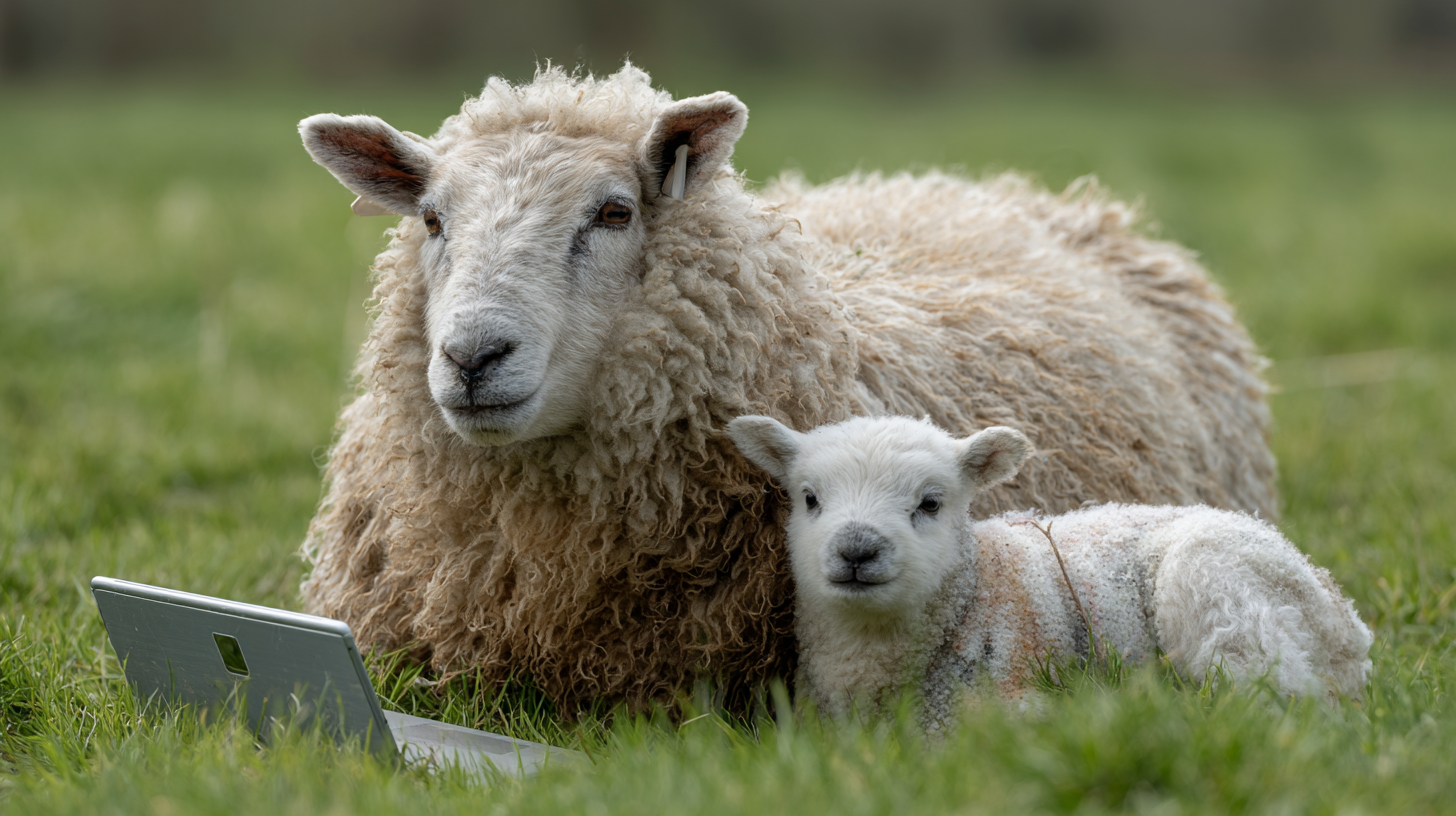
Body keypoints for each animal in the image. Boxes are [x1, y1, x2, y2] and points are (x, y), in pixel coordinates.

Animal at [727, 414, 1373, 729]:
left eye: (930, 503)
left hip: (1218, 585)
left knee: (1281, 695)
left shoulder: (1010, 698)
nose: (856, 551)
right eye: (809, 498)